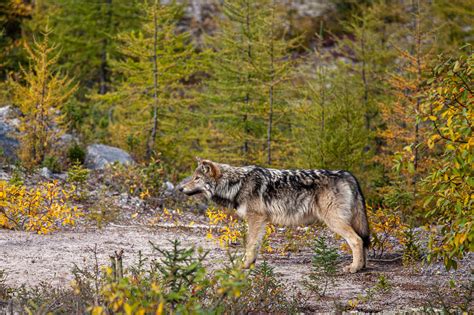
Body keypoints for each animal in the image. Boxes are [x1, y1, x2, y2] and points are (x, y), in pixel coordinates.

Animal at [178, 159, 370, 272]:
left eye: (196, 178)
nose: (180, 188)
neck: (236, 184)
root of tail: (347, 174)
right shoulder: (261, 222)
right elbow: (254, 246)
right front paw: (250, 263)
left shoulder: (256, 219)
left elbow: (250, 245)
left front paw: (244, 265)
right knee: (362, 240)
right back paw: (362, 266)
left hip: (334, 222)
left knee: (356, 240)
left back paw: (354, 268)